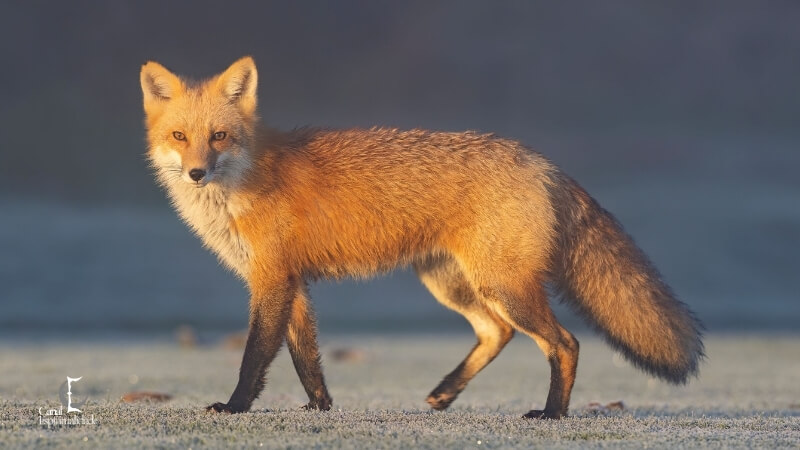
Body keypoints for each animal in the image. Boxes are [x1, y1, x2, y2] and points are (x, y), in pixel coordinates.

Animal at [139, 56, 704, 419]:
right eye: (179, 137)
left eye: (219, 136)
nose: (196, 173)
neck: (246, 181)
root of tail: (543, 162)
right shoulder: (290, 282)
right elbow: (306, 356)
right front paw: (320, 407)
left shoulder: (272, 279)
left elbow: (255, 356)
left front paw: (234, 407)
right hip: (450, 282)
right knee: (496, 333)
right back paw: (445, 395)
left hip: (502, 286)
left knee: (564, 344)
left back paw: (552, 414)